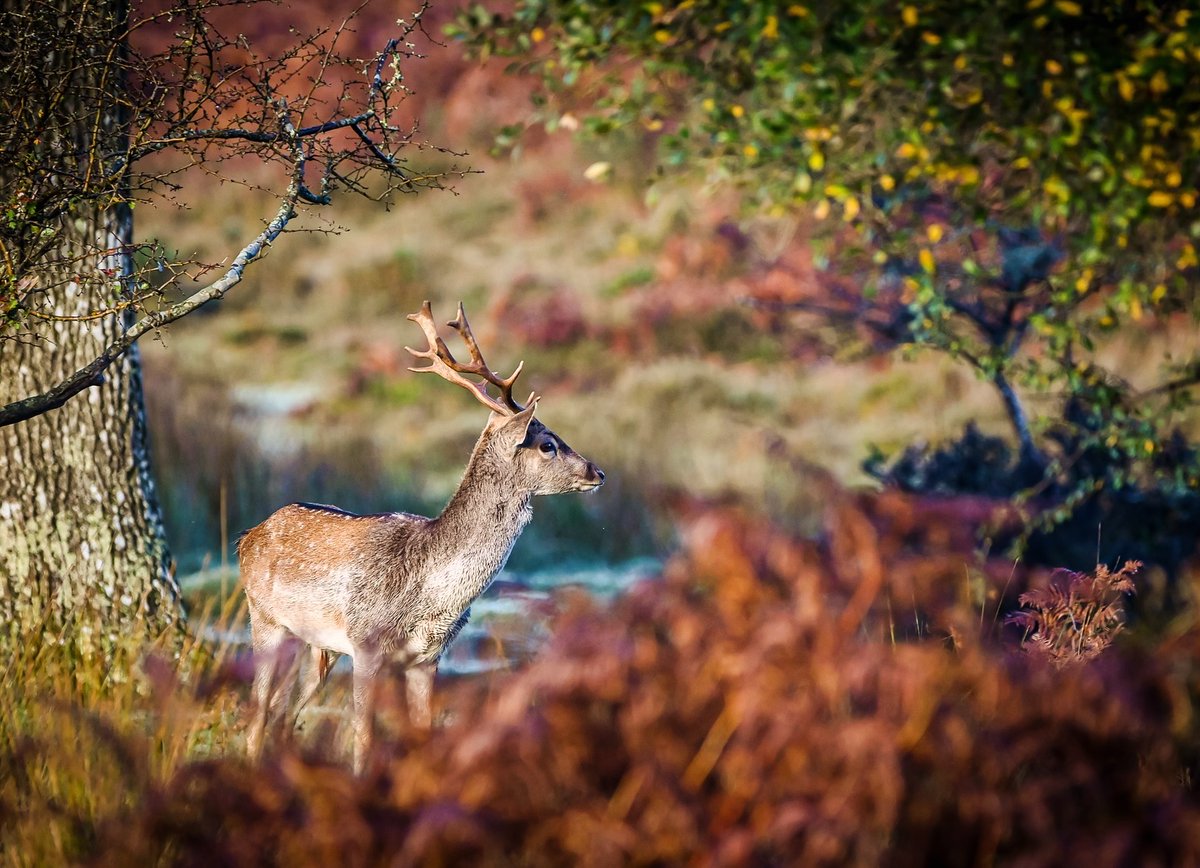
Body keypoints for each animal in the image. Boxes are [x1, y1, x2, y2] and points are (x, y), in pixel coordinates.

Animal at [238, 301, 605, 771]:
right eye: (547, 444)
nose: (598, 472)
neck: (430, 593)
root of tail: (248, 535)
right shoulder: (366, 643)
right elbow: (364, 740)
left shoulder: (428, 658)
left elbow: (424, 736)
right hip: (264, 618)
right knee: (257, 718)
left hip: (317, 647)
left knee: (284, 717)